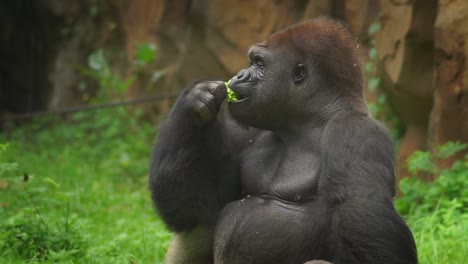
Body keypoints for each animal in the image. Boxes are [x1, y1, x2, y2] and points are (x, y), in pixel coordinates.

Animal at [149, 19, 416, 264]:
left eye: (259, 63)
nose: (239, 75)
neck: (305, 121)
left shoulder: (355, 132)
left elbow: (360, 212)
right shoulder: (246, 126)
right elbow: (203, 202)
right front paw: (195, 103)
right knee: (198, 223)